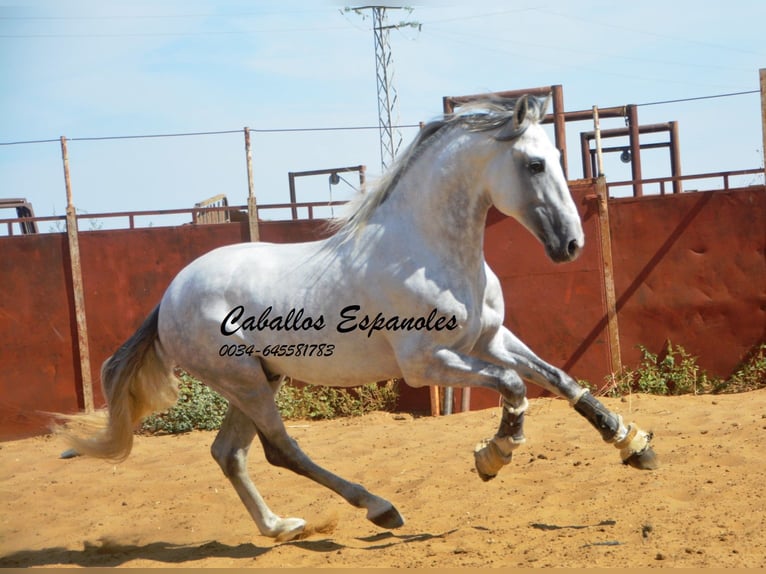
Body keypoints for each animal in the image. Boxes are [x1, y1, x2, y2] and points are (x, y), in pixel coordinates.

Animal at [60, 94, 660, 544]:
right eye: (534, 164)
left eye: (559, 157)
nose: (572, 244)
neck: (429, 252)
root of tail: (169, 296)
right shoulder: (427, 363)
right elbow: (514, 386)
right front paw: (493, 456)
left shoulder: (489, 338)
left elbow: (558, 378)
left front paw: (634, 446)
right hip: (243, 380)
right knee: (280, 449)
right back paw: (379, 509)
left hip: (259, 377)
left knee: (229, 453)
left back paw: (281, 527)